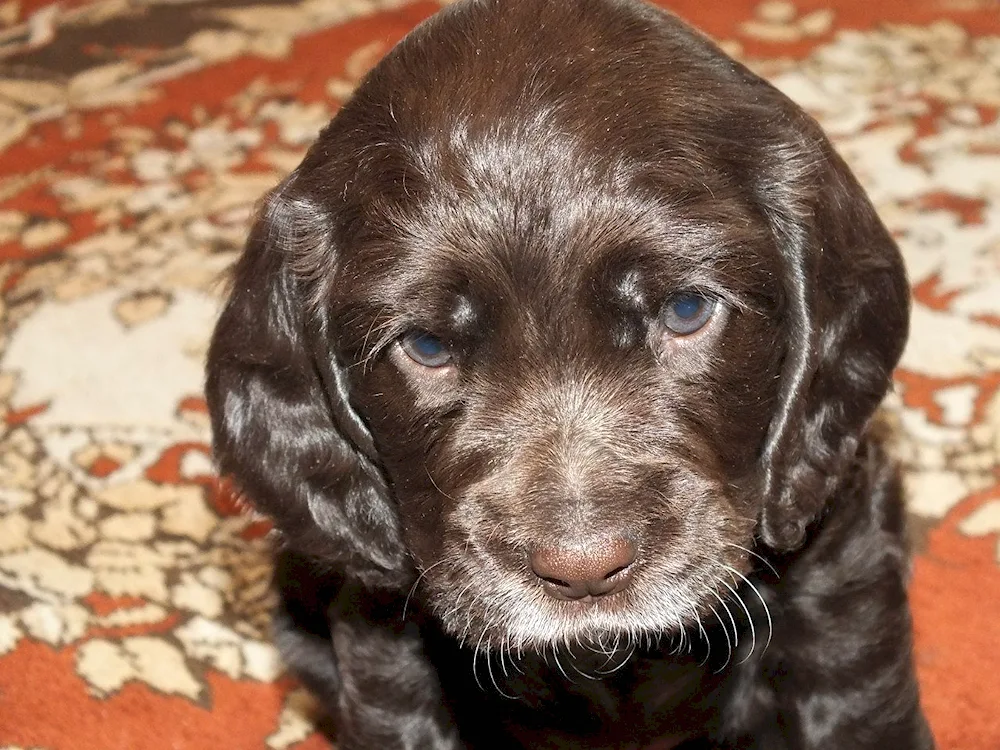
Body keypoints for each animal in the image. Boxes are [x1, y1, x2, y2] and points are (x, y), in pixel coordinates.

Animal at [205, 1, 936, 748]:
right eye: (427, 346)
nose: (585, 571)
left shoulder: (839, 556)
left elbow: (854, 701)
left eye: (687, 309)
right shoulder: (384, 629)